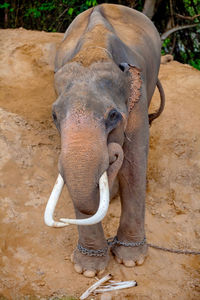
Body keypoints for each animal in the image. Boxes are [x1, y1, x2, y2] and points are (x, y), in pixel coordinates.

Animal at [44, 3, 165, 278]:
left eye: (112, 115)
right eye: (55, 116)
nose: (112, 153)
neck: (94, 48)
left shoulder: (137, 105)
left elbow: (133, 165)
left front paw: (131, 261)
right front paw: (88, 271)